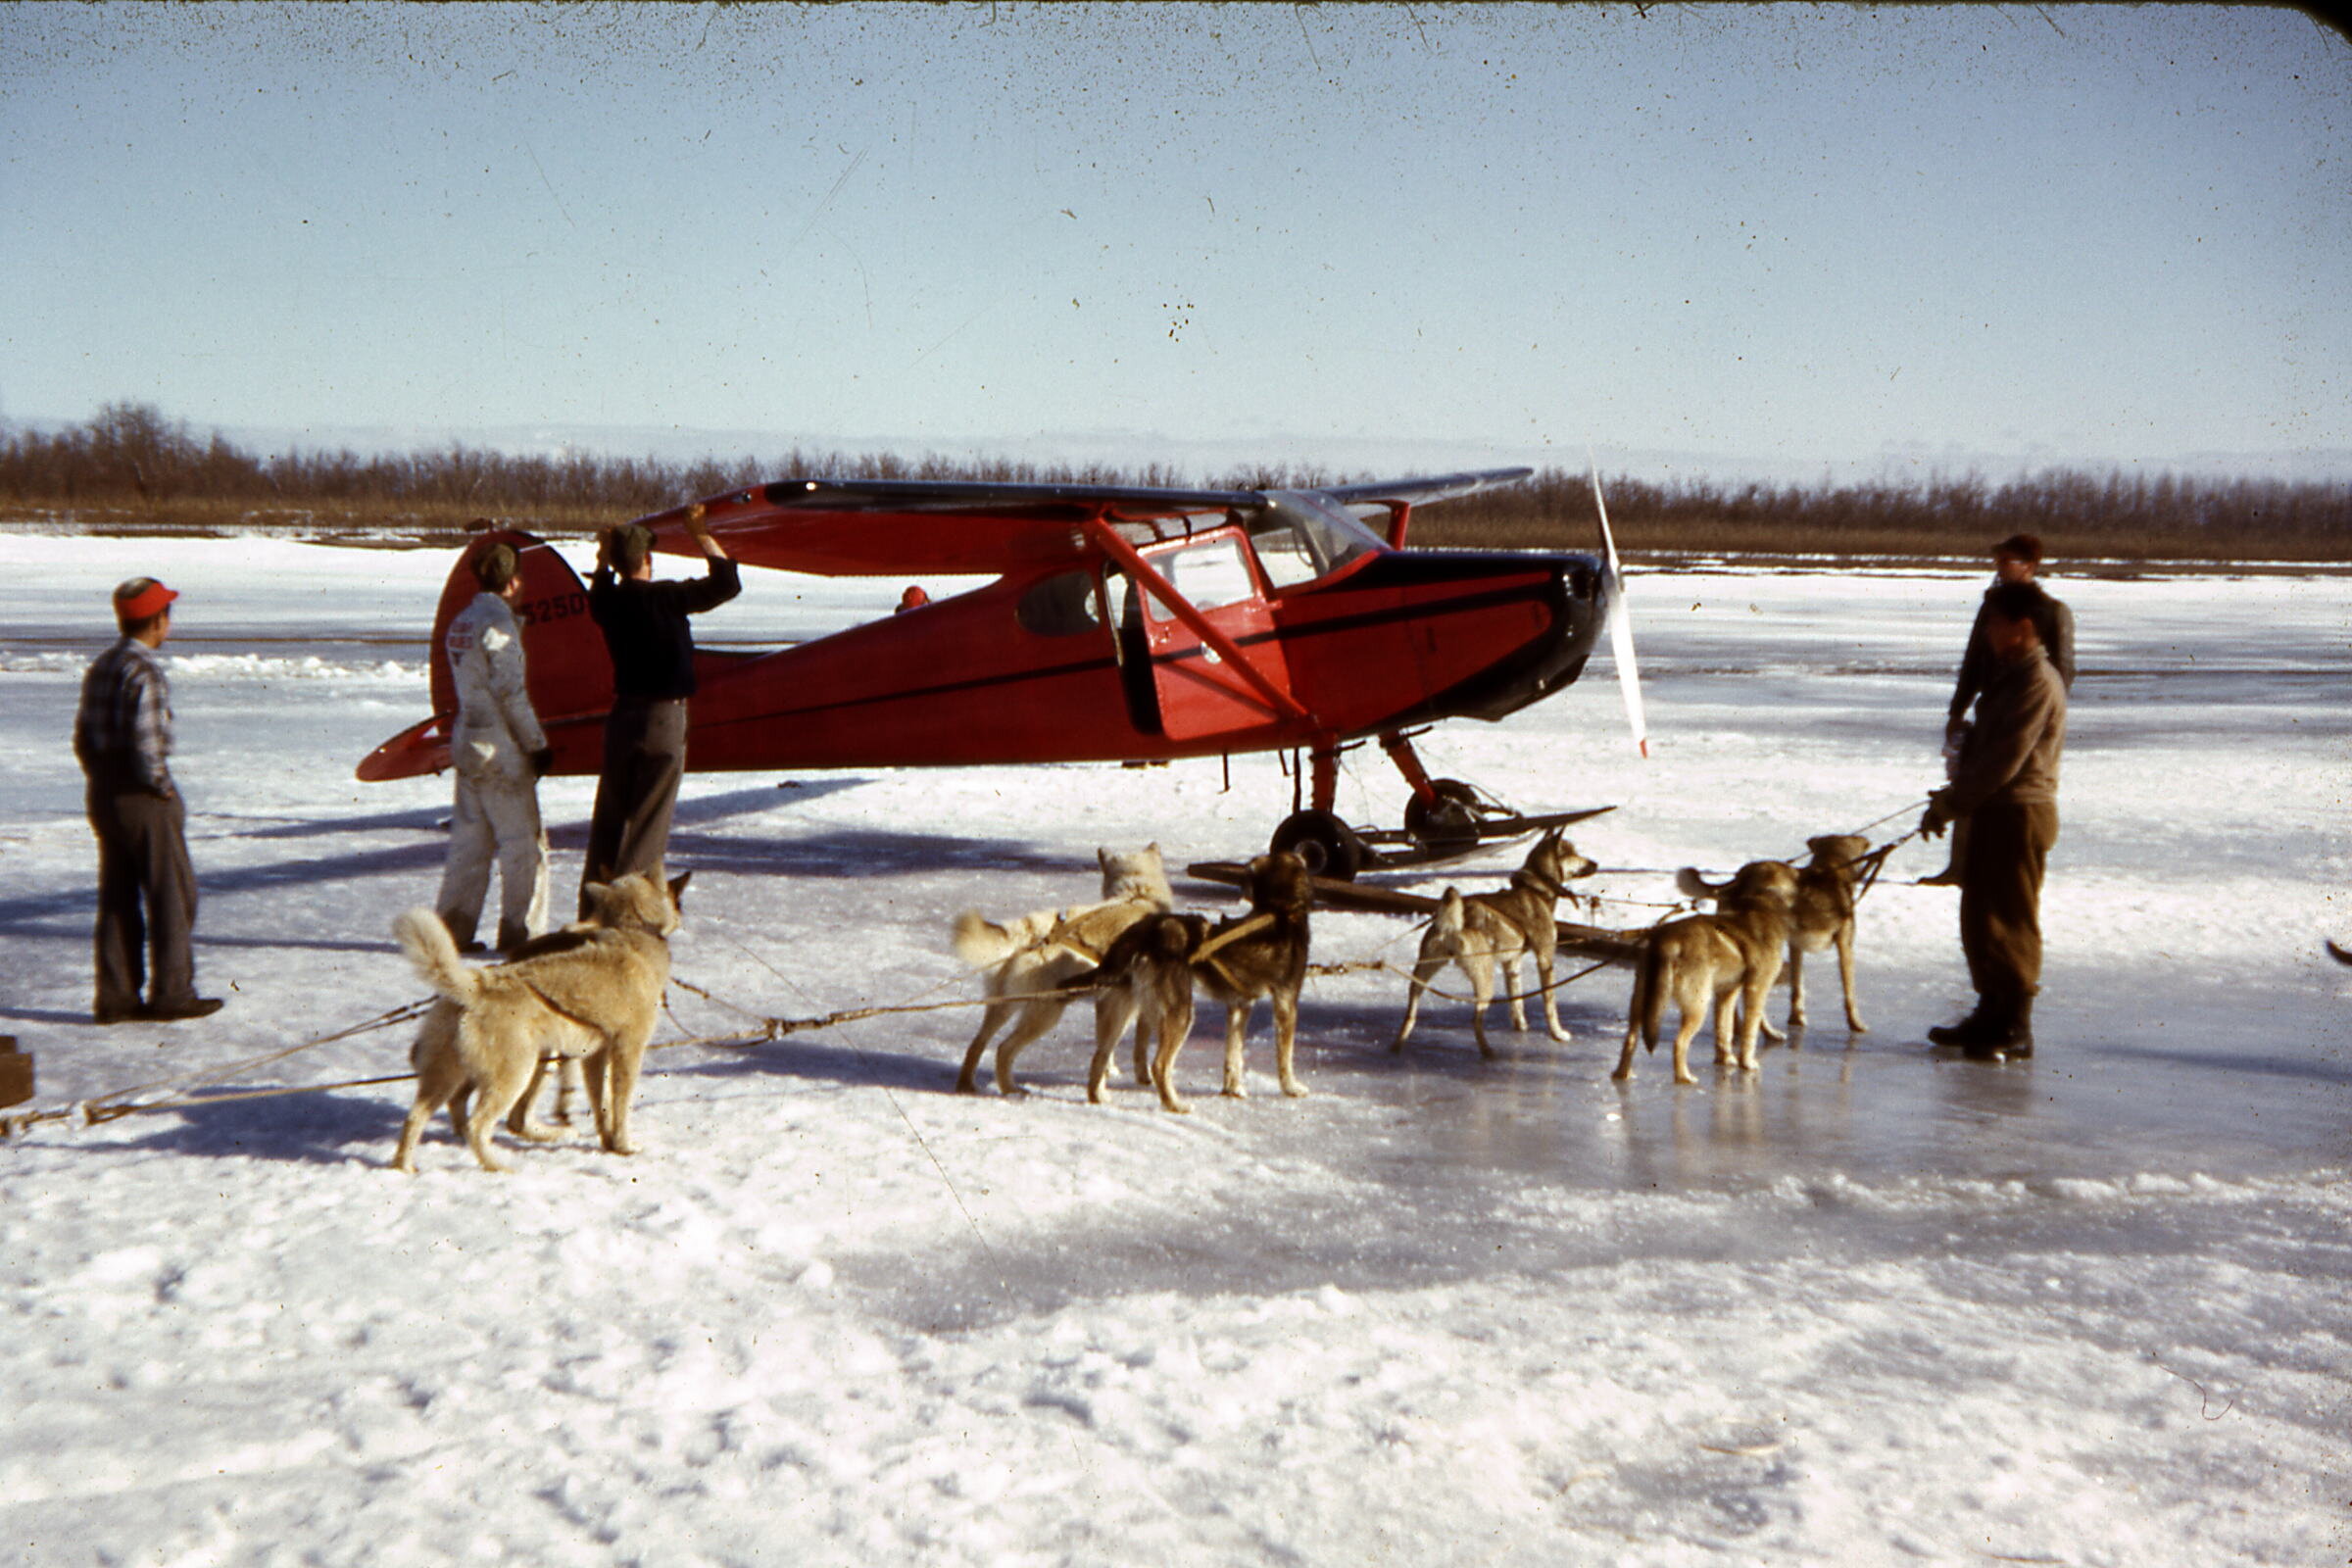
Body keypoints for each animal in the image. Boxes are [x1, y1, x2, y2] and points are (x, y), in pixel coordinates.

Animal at [392, 869, 686, 1175]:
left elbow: (601, 1105)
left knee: (418, 1117)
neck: (632, 930)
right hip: (516, 1073)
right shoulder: (628, 1049)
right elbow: (621, 1104)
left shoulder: (594, 1056)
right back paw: (497, 1166)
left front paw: (608, 1143)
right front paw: (625, 1145)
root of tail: (477, 985)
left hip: (450, 1075)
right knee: (478, 1125)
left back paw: (404, 1167)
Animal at [950, 846, 1171, 1091]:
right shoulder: (1131, 1004)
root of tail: (1031, 936)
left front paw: (1107, 1071)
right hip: (1046, 1014)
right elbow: (1135, 1044)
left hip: (1003, 1007)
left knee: (978, 1043)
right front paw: (1141, 1076)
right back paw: (1011, 1091)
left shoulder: (1108, 1001)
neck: (1138, 894)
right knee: (1003, 1049)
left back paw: (966, 1085)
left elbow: (1105, 1043)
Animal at [1392, 827, 1599, 1062]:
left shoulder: (1512, 962)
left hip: (1421, 974)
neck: (1536, 889)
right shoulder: (1545, 958)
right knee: (1475, 1020)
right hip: (1484, 980)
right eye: (1573, 853)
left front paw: (1521, 1026)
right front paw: (1558, 1033)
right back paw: (1488, 1051)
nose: (1595, 864)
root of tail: (1452, 927)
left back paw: (1398, 1044)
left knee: (1410, 1013)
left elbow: (1516, 999)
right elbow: (1550, 1003)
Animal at [1618, 859, 1796, 1091]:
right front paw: (1747, 1063)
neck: (1759, 905)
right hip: (1697, 1005)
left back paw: (1623, 1074)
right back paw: (1684, 1077)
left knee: (1630, 1038)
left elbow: (1724, 1030)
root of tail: (1666, 941)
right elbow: (1750, 1032)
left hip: (1641, 1002)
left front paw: (1725, 1059)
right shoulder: (1756, 989)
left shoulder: (1726, 993)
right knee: (1679, 1042)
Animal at [1674, 832, 1872, 1044]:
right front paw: (1856, 1023)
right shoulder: (1845, 944)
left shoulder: (1795, 946)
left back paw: (1737, 1030)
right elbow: (1849, 992)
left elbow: (1797, 986)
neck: (1831, 868)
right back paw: (1766, 1032)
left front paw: (1796, 1017)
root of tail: (1741, 878)